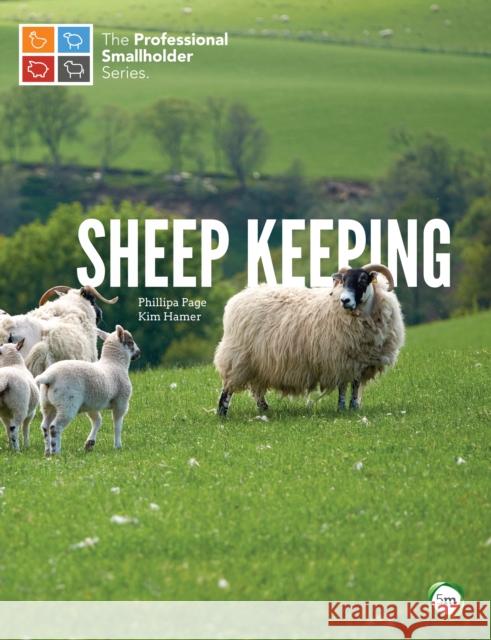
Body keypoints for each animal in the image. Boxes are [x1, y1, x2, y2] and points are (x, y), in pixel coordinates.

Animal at [35, 325, 140, 455]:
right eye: (130, 342)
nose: (139, 352)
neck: (115, 364)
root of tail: (49, 376)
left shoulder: (92, 404)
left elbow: (97, 421)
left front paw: (90, 444)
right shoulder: (121, 402)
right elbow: (117, 425)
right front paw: (117, 446)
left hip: (47, 404)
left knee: (45, 426)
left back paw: (47, 452)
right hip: (67, 403)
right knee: (55, 427)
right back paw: (56, 451)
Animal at [214, 264, 405, 416]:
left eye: (363, 280)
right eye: (343, 280)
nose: (345, 300)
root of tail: (237, 298)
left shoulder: (360, 362)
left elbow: (355, 386)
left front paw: (354, 407)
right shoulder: (340, 360)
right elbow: (343, 387)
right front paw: (342, 409)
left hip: (258, 363)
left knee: (257, 389)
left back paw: (265, 410)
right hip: (238, 357)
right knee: (228, 387)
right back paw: (222, 413)